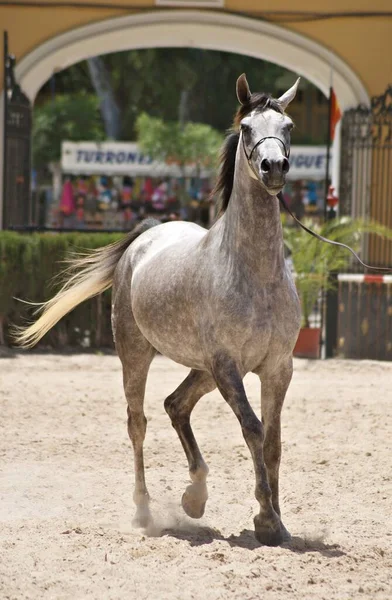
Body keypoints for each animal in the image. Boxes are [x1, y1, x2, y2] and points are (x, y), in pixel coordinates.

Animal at [16, 74, 300, 544]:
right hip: (139, 356)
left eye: (288, 126)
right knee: (139, 422)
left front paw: (280, 520)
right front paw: (265, 518)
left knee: (175, 405)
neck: (254, 273)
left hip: (203, 369)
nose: (273, 167)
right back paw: (144, 510)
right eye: (246, 129)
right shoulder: (229, 366)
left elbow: (274, 441)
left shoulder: (277, 368)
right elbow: (253, 429)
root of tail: (146, 235)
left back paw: (194, 496)